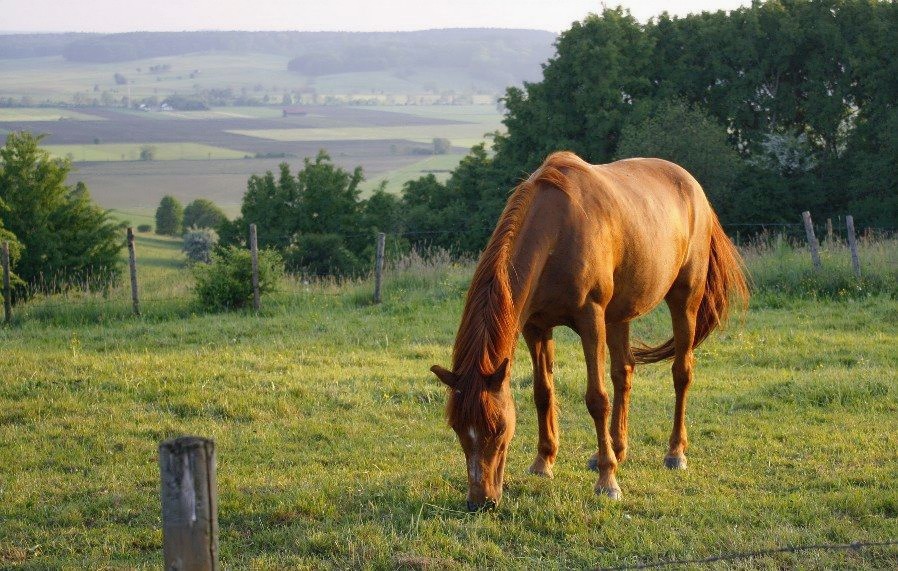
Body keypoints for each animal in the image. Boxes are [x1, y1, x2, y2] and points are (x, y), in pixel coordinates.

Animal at [430, 151, 744, 510]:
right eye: (457, 427)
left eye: (497, 428)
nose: (480, 501)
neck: (556, 231)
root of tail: (695, 189)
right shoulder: (536, 327)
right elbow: (543, 392)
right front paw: (544, 461)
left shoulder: (590, 319)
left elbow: (597, 399)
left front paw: (608, 481)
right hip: (620, 313)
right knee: (624, 371)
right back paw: (617, 449)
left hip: (684, 300)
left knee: (681, 373)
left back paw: (674, 452)